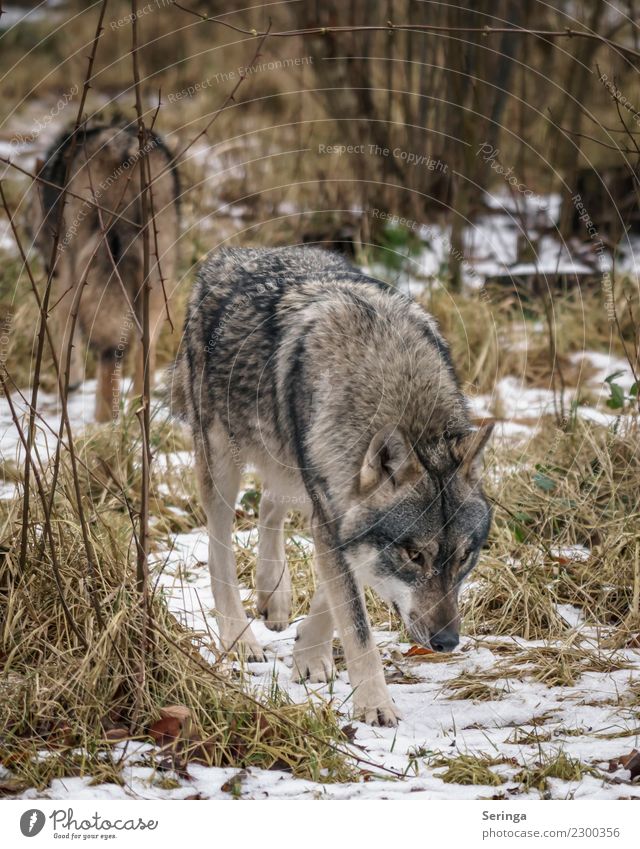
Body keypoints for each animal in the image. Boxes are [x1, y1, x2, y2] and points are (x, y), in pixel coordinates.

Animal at [32, 121, 180, 420]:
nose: (46, 267)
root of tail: (126, 150)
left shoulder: (65, 276)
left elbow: (67, 335)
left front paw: (70, 384)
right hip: (158, 282)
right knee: (144, 349)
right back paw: (138, 410)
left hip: (90, 268)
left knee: (109, 353)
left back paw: (104, 420)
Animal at [172, 243, 492, 724]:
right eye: (414, 555)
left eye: (463, 558)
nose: (447, 643)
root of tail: (233, 254)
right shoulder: (332, 511)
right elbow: (356, 626)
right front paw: (376, 707)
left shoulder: (337, 509)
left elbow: (339, 595)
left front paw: (309, 654)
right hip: (222, 459)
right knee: (219, 549)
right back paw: (239, 637)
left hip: (288, 459)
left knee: (270, 503)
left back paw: (274, 595)